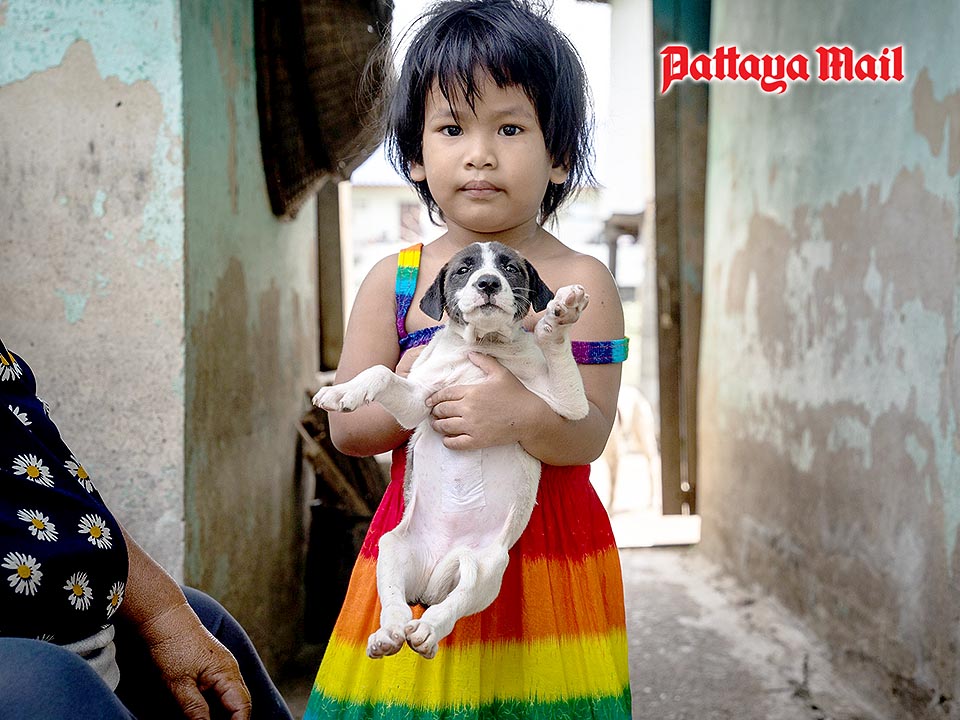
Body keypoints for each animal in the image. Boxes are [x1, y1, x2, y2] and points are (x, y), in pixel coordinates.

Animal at [312, 241, 589, 660]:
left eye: (509, 267)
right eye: (464, 270)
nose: (488, 282)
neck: (483, 345)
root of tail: (430, 579)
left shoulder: (568, 407)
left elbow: (558, 356)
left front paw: (560, 317)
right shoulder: (417, 401)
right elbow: (380, 372)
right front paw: (341, 391)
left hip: (487, 568)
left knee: (452, 604)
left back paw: (427, 631)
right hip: (393, 547)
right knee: (395, 604)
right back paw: (388, 634)